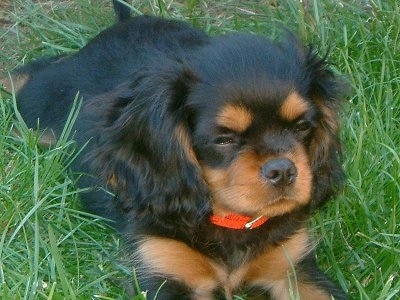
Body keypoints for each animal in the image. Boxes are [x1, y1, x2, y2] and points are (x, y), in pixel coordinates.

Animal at [1, 1, 346, 298]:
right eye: (223, 139)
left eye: (302, 126)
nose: (283, 170)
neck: (231, 219)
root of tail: (125, 22)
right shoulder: (166, 265)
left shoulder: (294, 267)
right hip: (42, 107)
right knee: (29, 74)